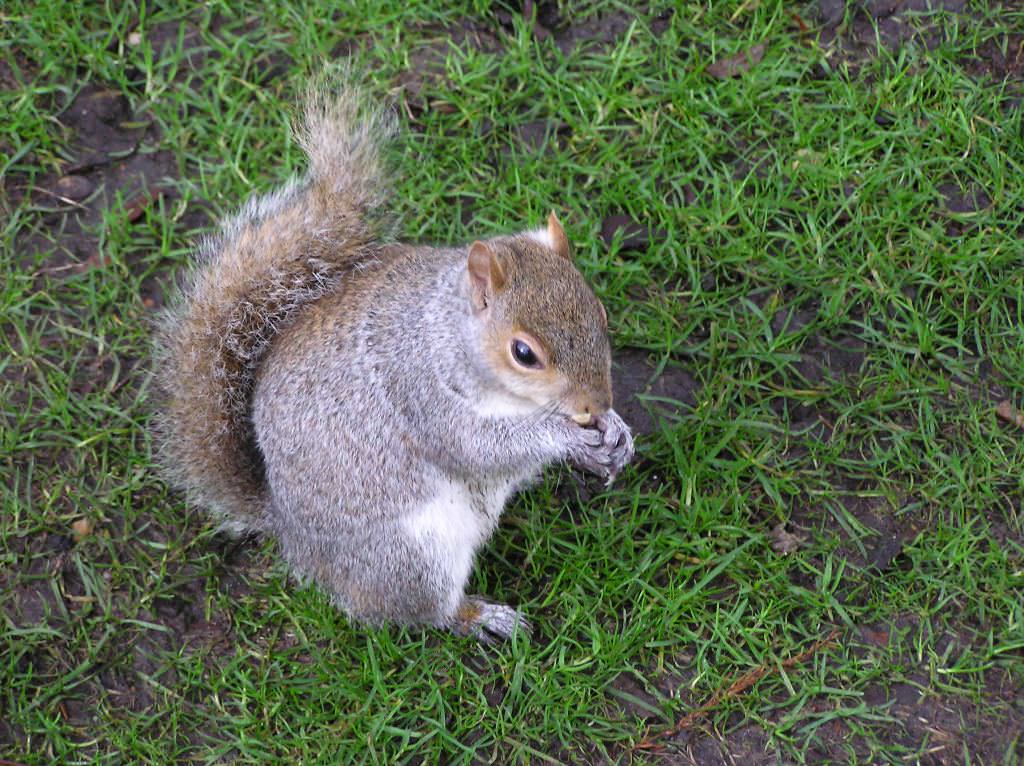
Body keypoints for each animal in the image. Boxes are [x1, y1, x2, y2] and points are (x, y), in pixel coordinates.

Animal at [151, 83, 630, 643]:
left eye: (600, 311)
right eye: (523, 353)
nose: (594, 404)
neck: (447, 332)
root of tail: (292, 535)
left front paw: (614, 433)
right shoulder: (419, 393)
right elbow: (481, 446)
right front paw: (566, 436)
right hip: (411, 556)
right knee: (419, 612)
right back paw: (481, 617)